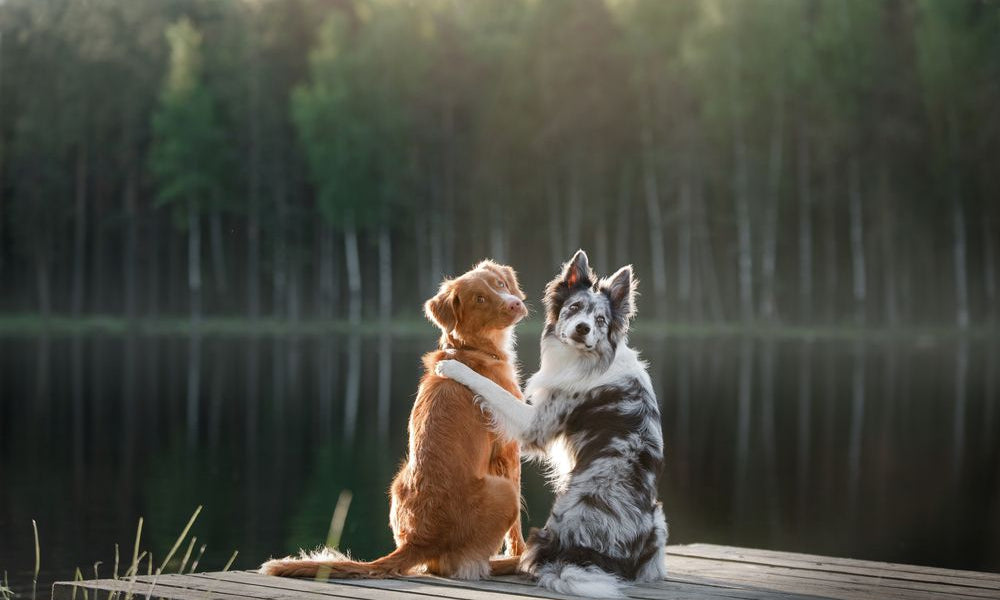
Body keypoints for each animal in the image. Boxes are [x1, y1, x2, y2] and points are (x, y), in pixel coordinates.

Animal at [262, 260, 532, 580]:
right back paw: (514, 562)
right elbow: (516, 531)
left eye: (500, 284)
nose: (515, 303)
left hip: (397, 482)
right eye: (479, 298)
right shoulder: (508, 451)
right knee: (464, 565)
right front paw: (520, 551)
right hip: (502, 491)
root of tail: (420, 541)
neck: (471, 349)